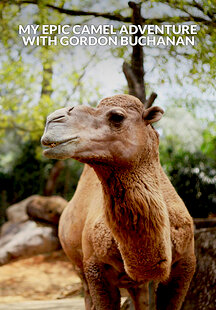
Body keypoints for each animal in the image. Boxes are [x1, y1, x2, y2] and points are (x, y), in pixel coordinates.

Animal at [41, 95, 196, 310]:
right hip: (78, 266)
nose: (53, 119)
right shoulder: (95, 268)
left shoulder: (185, 265)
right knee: (87, 295)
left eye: (117, 117)